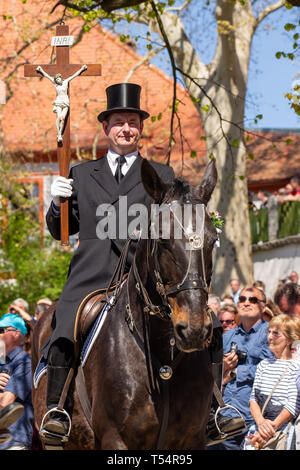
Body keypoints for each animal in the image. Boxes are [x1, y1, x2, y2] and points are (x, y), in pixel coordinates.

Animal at [31, 159, 218, 452]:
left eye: (212, 240)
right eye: (163, 241)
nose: (195, 329)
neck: (162, 358)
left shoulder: (192, 440)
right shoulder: (114, 439)